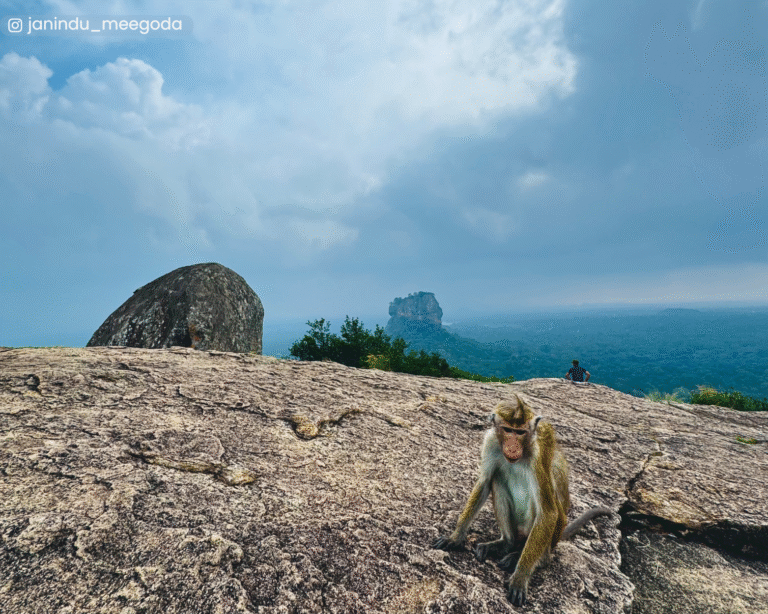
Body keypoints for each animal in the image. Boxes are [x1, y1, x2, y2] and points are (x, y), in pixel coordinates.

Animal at [432, 395, 611, 606]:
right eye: (508, 430)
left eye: (520, 432)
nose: (512, 446)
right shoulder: (491, 442)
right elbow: (484, 483)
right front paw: (455, 537)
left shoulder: (538, 458)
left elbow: (548, 512)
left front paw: (520, 577)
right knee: (497, 480)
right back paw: (506, 544)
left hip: (537, 533)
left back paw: (532, 558)